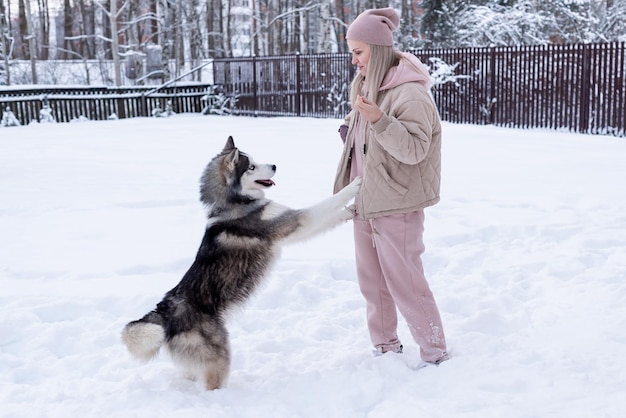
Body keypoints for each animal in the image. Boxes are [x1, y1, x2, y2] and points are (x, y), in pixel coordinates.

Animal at [120, 136, 360, 388]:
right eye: (251, 167)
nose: (274, 166)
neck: (233, 203)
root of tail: (164, 311)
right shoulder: (296, 222)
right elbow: (325, 206)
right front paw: (353, 188)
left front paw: (351, 208)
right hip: (219, 356)